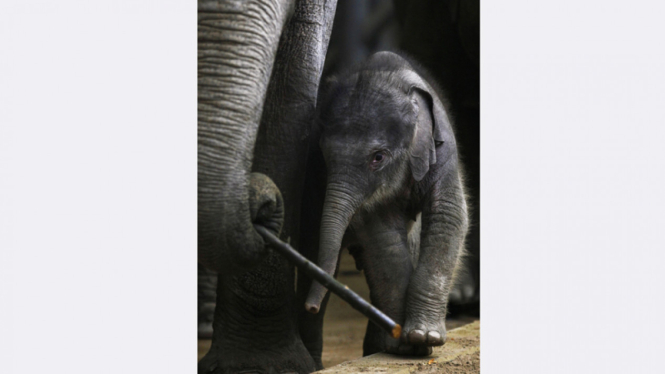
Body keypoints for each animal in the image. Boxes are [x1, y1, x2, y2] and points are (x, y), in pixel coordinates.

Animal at [304, 51, 466, 356]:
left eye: (377, 158)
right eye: (323, 155)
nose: (310, 308)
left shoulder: (444, 146)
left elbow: (448, 215)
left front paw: (423, 338)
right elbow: (383, 235)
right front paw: (401, 345)